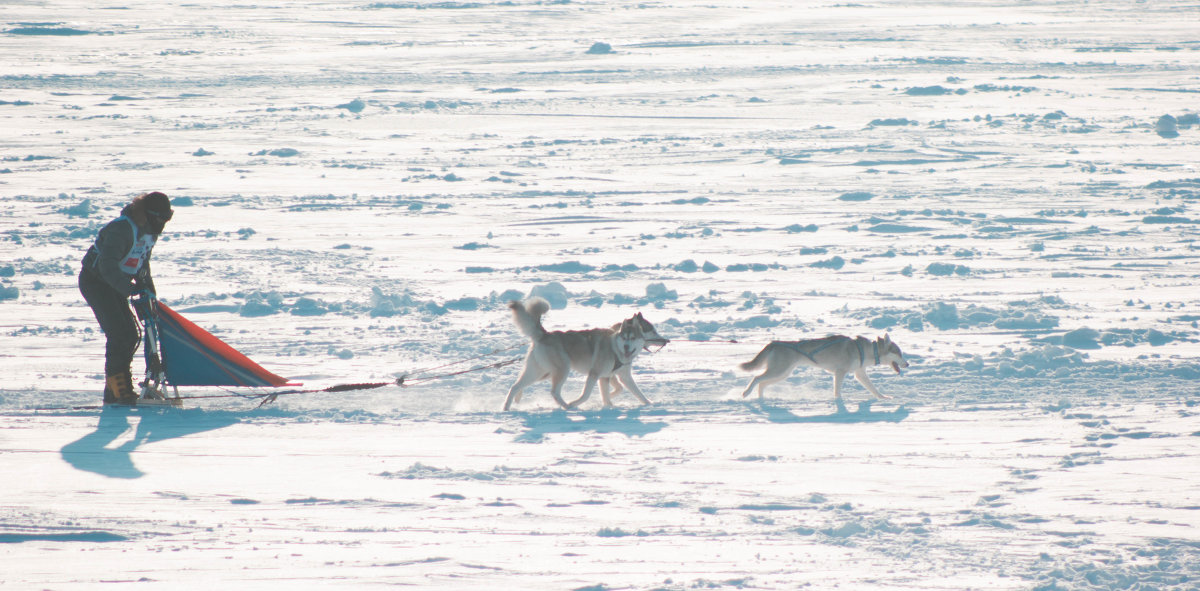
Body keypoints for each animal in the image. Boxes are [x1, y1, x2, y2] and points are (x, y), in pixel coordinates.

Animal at [499, 300, 667, 410]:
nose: (665, 340)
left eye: (633, 338)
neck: (615, 347)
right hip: (561, 370)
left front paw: (647, 404)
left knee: (515, 386)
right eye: (652, 330)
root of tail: (545, 335)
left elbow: (636, 393)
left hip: (541, 373)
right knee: (554, 392)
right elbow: (586, 395)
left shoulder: (616, 377)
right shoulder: (595, 374)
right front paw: (577, 402)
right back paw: (568, 406)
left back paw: (507, 406)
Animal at [734, 331, 902, 401]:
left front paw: (883, 397)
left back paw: (761, 399)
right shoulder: (840, 372)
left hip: (782, 373)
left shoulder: (859, 373)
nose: (906, 364)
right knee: (756, 378)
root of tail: (774, 343)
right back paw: (746, 393)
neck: (863, 350)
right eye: (899, 353)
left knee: (761, 384)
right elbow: (837, 391)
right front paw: (838, 402)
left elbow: (873, 389)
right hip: (778, 371)